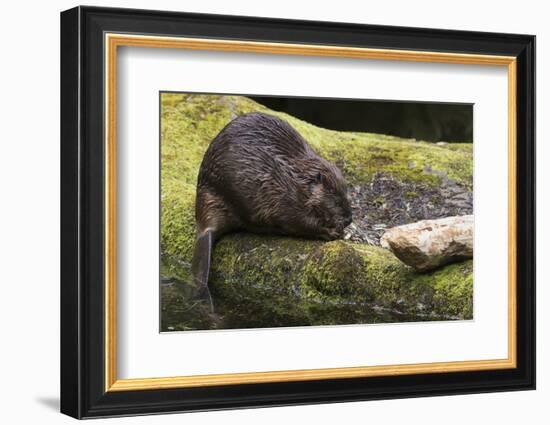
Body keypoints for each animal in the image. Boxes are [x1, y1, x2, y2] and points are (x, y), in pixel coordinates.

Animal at [192, 112, 352, 308]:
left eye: (347, 193)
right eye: (336, 199)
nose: (349, 219)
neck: (297, 179)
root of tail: (205, 228)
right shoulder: (282, 196)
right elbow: (301, 222)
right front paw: (333, 232)